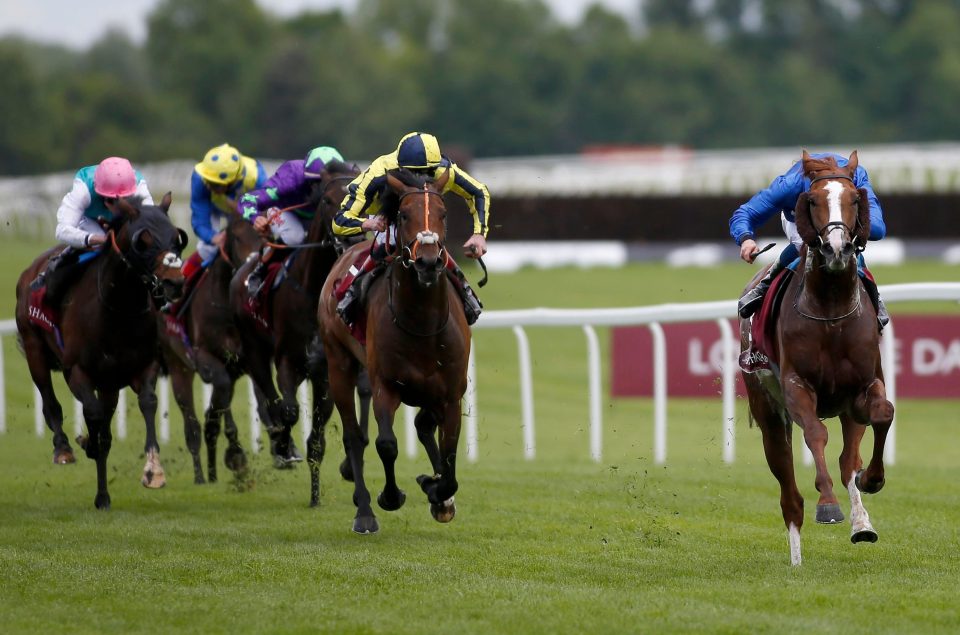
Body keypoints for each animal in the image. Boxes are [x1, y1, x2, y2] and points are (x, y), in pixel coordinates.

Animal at [15, 195, 187, 512]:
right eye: (143, 240)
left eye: (177, 237)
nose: (174, 283)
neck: (118, 310)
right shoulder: (76, 371)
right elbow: (92, 414)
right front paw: (86, 443)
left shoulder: (142, 367)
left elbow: (147, 402)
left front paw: (153, 470)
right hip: (35, 350)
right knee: (50, 401)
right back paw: (64, 448)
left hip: (109, 384)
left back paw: (102, 496)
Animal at [157, 212, 264, 482]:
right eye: (236, 236)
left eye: (263, 235)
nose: (249, 273)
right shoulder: (202, 357)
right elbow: (216, 405)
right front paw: (235, 455)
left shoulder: (244, 361)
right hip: (177, 365)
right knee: (192, 426)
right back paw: (201, 476)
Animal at [231, 160, 374, 506]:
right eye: (327, 199)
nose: (351, 241)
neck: (313, 290)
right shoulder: (289, 360)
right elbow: (289, 410)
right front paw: (285, 448)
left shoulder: (324, 372)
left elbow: (317, 438)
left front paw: (317, 493)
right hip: (255, 352)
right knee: (270, 400)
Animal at [316, 166, 470, 536]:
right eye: (403, 214)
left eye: (443, 213)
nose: (427, 261)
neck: (422, 323)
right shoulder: (385, 385)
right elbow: (386, 444)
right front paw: (390, 496)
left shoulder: (451, 394)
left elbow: (450, 458)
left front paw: (438, 493)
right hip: (338, 363)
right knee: (354, 437)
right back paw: (364, 511)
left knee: (423, 426)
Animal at [744, 150, 892, 568]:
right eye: (811, 201)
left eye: (855, 198)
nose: (837, 248)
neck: (831, 311)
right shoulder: (797, 388)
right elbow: (815, 435)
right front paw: (827, 504)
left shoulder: (863, 387)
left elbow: (882, 415)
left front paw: (872, 480)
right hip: (767, 411)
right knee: (788, 490)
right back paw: (797, 558)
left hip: (845, 409)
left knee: (846, 461)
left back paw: (862, 524)